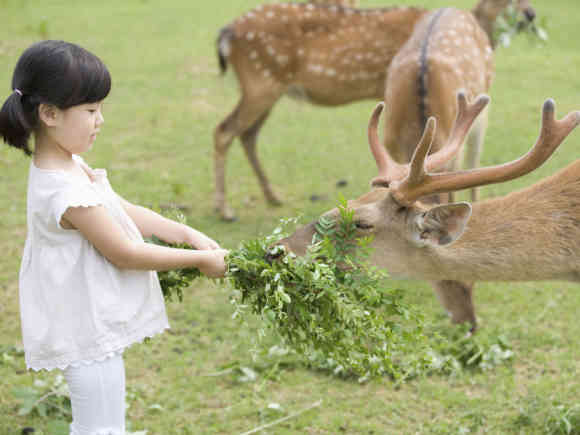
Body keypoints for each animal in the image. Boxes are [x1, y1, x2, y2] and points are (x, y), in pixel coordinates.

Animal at [213, 0, 536, 221]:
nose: (531, 14)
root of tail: (227, 33)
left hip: (269, 87)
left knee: (248, 134)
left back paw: (273, 196)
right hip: (260, 81)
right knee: (224, 130)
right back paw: (225, 209)